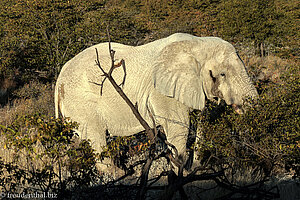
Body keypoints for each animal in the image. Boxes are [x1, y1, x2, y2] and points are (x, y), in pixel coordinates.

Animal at [55, 32, 258, 169]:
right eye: (222, 74)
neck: (198, 43)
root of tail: (58, 80)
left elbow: (203, 121)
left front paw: (195, 168)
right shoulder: (163, 92)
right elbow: (180, 127)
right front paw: (179, 171)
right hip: (82, 103)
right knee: (97, 140)